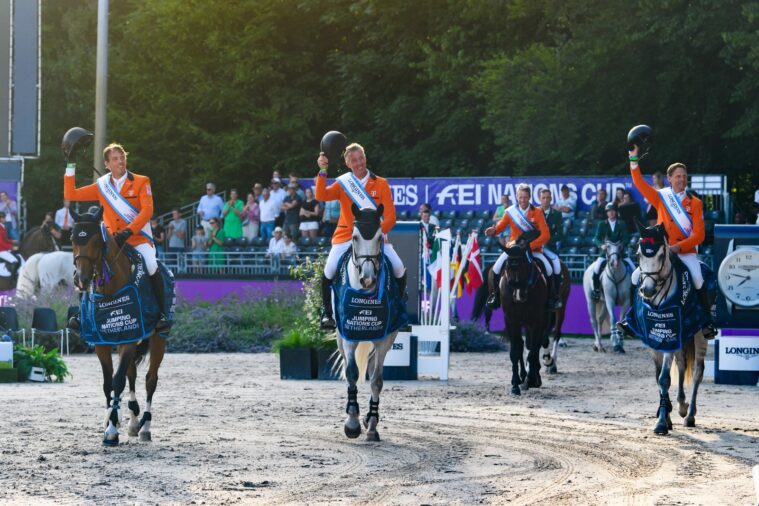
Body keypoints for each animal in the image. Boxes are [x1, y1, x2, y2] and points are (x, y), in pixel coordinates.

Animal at [70, 210, 166, 446]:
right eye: (73, 239)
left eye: (97, 240)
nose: (81, 279)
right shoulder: (102, 343)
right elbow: (108, 383)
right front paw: (110, 420)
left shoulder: (129, 338)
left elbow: (118, 380)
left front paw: (112, 431)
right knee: (132, 374)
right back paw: (132, 420)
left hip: (158, 340)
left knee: (150, 380)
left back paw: (144, 427)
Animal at [336, 204, 400, 440]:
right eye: (354, 237)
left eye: (380, 237)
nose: (368, 278)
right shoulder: (348, 334)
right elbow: (352, 374)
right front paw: (352, 423)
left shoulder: (385, 339)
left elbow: (377, 380)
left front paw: (371, 423)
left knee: (372, 367)